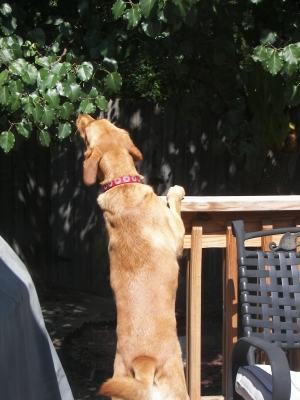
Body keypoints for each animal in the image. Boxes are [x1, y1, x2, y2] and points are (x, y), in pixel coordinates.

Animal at [76, 113, 189, 400]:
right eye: (88, 129)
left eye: (97, 120)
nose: (81, 115)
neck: (122, 184)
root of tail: (144, 360)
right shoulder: (177, 234)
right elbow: (174, 204)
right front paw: (175, 191)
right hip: (179, 386)